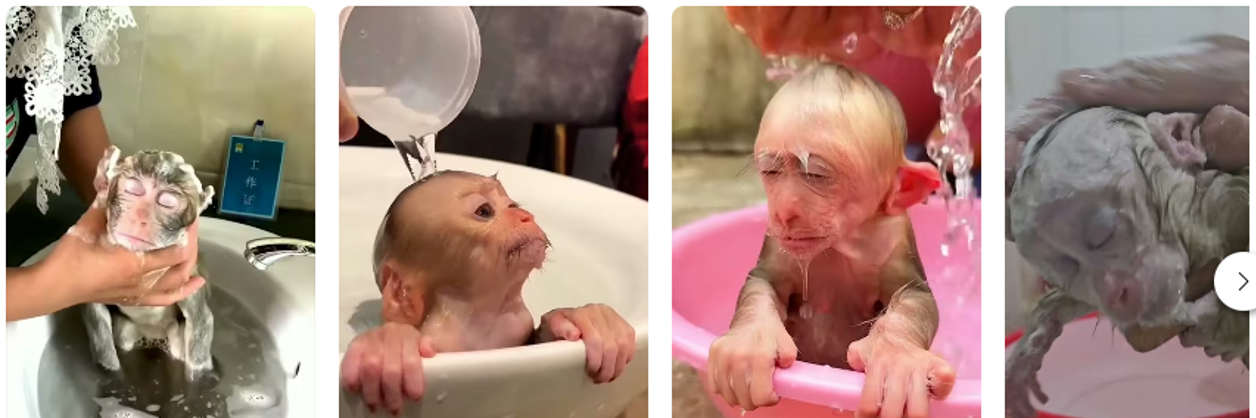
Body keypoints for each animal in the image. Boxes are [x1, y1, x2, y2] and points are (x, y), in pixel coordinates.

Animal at [81, 145, 217, 383]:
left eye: (167, 202)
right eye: (134, 188)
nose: (139, 217)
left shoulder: (189, 279)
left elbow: (202, 322)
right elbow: (96, 319)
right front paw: (114, 380)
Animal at [340, 170, 637, 415]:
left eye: (513, 205)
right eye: (484, 210)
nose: (526, 216)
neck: (485, 318)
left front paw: (584, 319)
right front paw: (388, 347)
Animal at [704, 64, 957, 418]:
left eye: (816, 175)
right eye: (771, 172)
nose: (785, 211)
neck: (842, 241)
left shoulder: (895, 237)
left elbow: (912, 296)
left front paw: (897, 358)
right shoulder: (776, 239)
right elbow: (763, 282)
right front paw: (749, 344)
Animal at [1005, 106, 1249, 418]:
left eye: (1103, 234)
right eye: (1068, 271)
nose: (1115, 295)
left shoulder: (1223, 202)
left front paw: (1226, 325)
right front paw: (1029, 348)